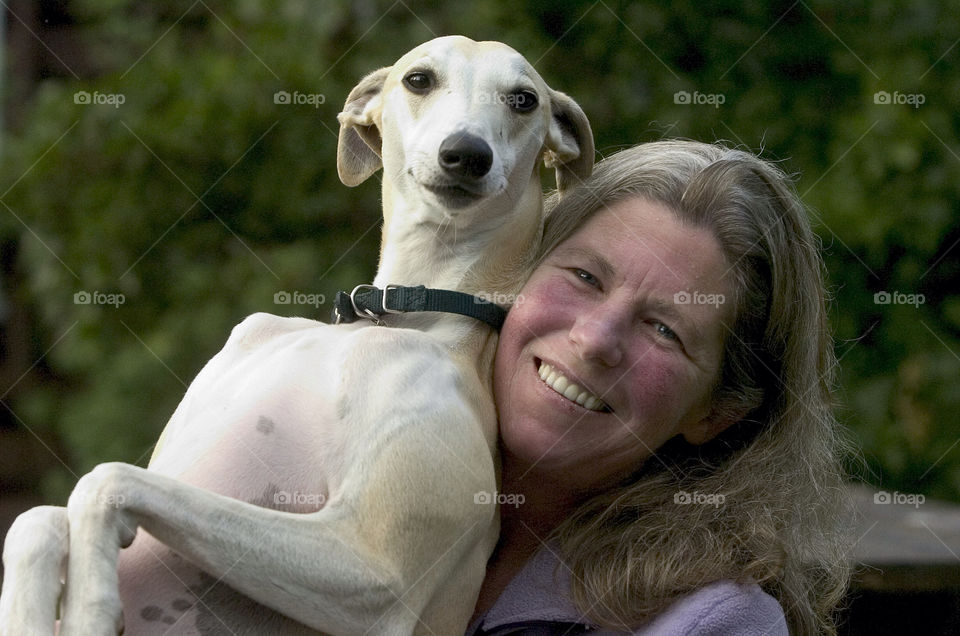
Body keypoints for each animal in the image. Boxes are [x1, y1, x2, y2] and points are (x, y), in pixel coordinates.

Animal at [0, 36, 592, 636]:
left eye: (524, 99)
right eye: (419, 79)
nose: (467, 154)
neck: (396, 315)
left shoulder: (376, 571)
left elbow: (107, 479)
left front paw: (91, 603)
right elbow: (36, 518)